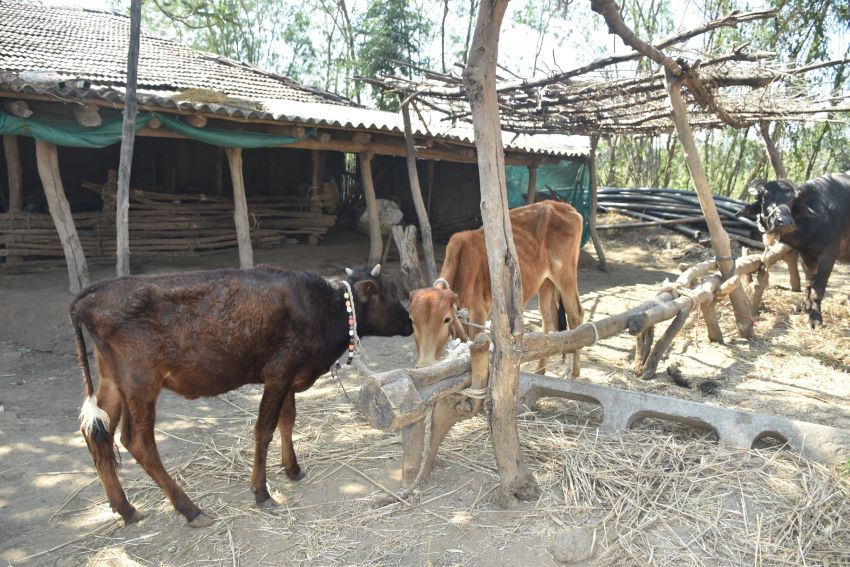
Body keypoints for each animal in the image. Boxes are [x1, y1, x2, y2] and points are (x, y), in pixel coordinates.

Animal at [70, 264, 412, 527]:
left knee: (97, 432)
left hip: (112, 381)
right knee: (137, 442)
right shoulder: (279, 372)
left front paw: (292, 469)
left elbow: (288, 421)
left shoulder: (288, 376)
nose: (410, 323)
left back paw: (126, 509)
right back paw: (190, 510)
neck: (323, 307)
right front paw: (262, 492)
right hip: (141, 384)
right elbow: (264, 430)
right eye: (391, 293)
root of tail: (97, 292)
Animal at [408, 200, 584, 376]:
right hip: (546, 282)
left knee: (576, 316)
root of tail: (566, 207)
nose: (424, 365)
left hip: (565, 275)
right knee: (550, 324)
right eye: (412, 320)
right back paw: (540, 372)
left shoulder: (478, 316)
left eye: (446, 319)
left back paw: (572, 373)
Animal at [739, 173, 850, 327]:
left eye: (791, 199)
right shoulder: (805, 255)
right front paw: (806, 307)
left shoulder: (828, 255)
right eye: (765, 196)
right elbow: (810, 283)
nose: (785, 222)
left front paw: (815, 318)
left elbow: (818, 290)